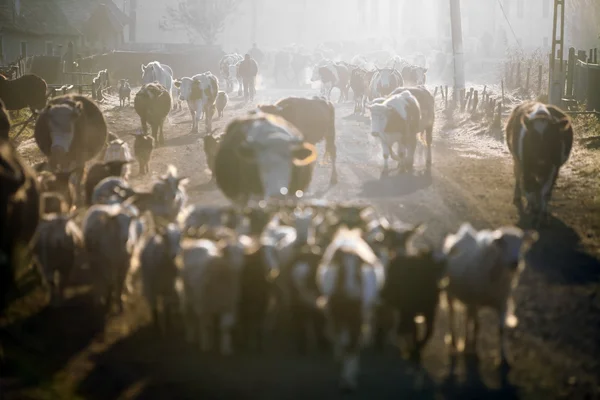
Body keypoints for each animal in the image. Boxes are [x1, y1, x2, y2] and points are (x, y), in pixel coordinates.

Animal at [442, 223, 536, 368]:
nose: (515, 263)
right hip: (450, 293)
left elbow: (501, 329)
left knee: (467, 317)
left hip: (468, 297)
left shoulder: (502, 302)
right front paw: (475, 350)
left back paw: (466, 340)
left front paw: (504, 357)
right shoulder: (475, 302)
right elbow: (477, 325)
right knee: (452, 312)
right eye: (503, 243)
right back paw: (453, 339)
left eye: (521, 243)